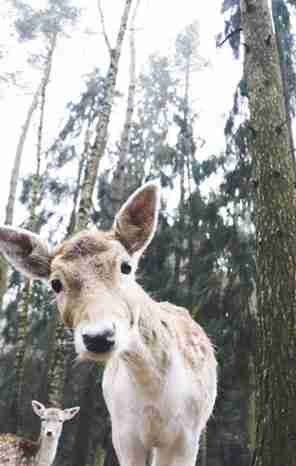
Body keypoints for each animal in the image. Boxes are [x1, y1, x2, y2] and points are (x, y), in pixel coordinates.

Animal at [0, 182, 217, 466]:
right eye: (55, 283)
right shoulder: (123, 434)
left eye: (126, 266)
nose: (99, 337)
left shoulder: (187, 435)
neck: (153, 390)